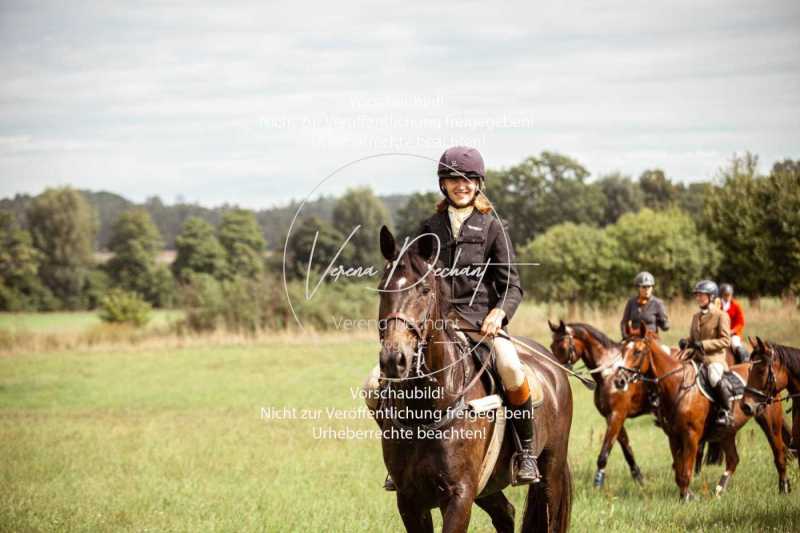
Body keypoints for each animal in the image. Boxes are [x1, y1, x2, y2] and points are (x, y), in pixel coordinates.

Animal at [376, 225, 572, 532]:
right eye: (382, 289)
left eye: (424, 289)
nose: (394, 360)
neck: (427, 408)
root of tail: (553, 365)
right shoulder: (409, 500)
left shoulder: (460, 494)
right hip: (488, 485)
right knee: (506, 513)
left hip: (550, 472)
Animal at [548, 318, 652, 488]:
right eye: (551, 346)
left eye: (562, 347)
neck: (609, 374)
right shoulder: (612, 417)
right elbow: (627, 449)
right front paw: (639, 478)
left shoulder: (617, 416)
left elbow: (604, 452)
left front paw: (598, 482)